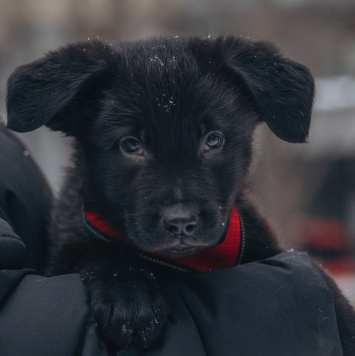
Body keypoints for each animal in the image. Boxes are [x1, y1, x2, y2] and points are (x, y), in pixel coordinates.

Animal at [5, 34, 355, 352]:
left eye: (213, 140)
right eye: (131, 145)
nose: (181, 223)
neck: (188, 262)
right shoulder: (66, 249)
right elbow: (95, 250)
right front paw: (127, 294)